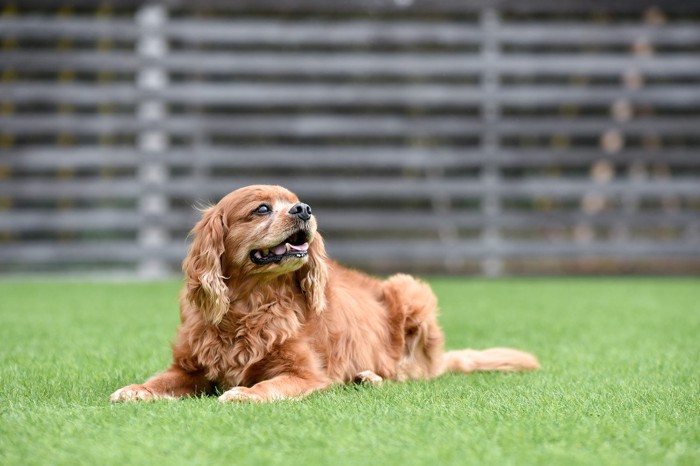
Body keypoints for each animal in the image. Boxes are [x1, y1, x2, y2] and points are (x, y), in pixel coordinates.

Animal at [109, 184, 540, 402]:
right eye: (261, 209)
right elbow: (162, 380)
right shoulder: (189, 367)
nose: (304, 209)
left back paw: (372, 376)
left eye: (294, 202)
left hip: (409, 289)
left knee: (409, 372)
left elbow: (269, 385)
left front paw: (243, 394)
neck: (251, 304)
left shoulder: (304, 372)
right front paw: (137, 389)